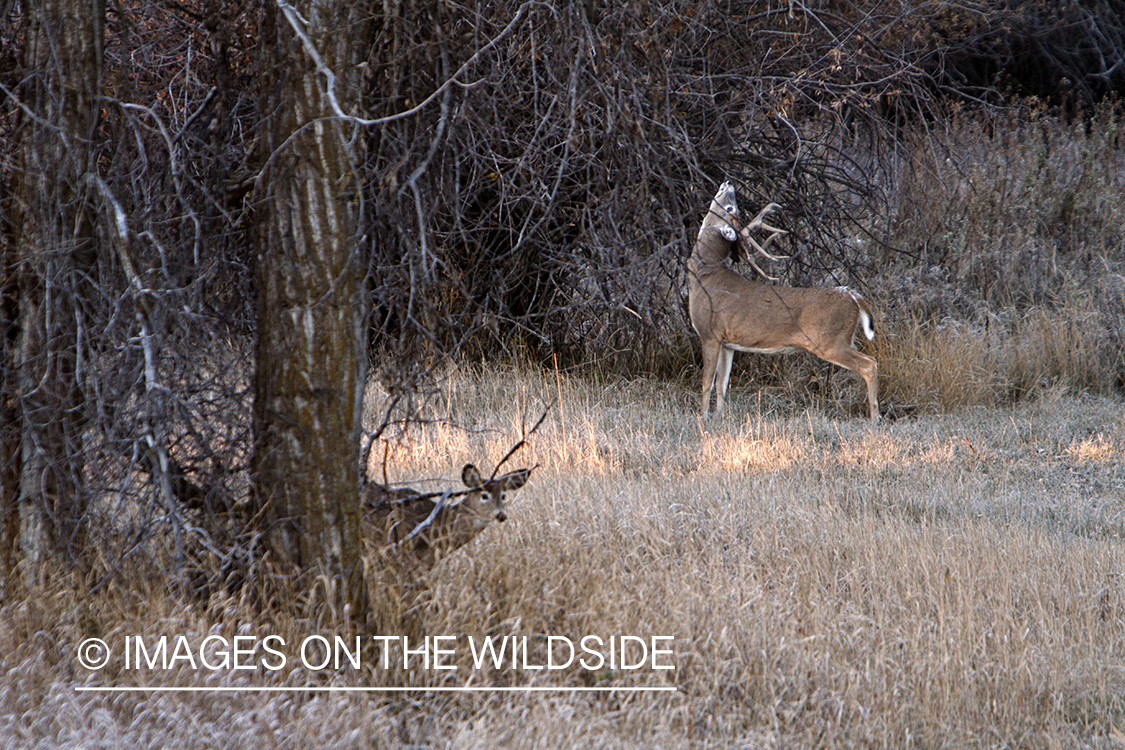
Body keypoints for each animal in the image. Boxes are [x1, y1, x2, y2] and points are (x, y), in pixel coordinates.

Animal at [684, 178, 877, 420]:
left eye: (730, 208)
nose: (729, 183)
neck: (705, 275)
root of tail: (853, 295)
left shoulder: (709, 332)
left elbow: (706, 382)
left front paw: (703, 417)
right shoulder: (727, 342)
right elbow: (722, 384)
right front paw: (720, 416)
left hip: (830, 340)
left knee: (870, 365)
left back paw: (875, 418)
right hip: (839, 339)